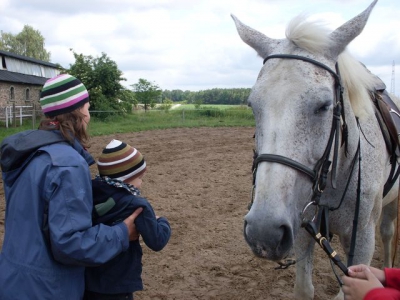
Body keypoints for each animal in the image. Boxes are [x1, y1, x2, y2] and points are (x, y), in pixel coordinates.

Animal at [231, 1, 400, 298]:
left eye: (324, 105)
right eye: (252, 105)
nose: (263, 232)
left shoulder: (362, 241)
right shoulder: (299, 230)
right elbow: (304, 288)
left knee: (388, 233)